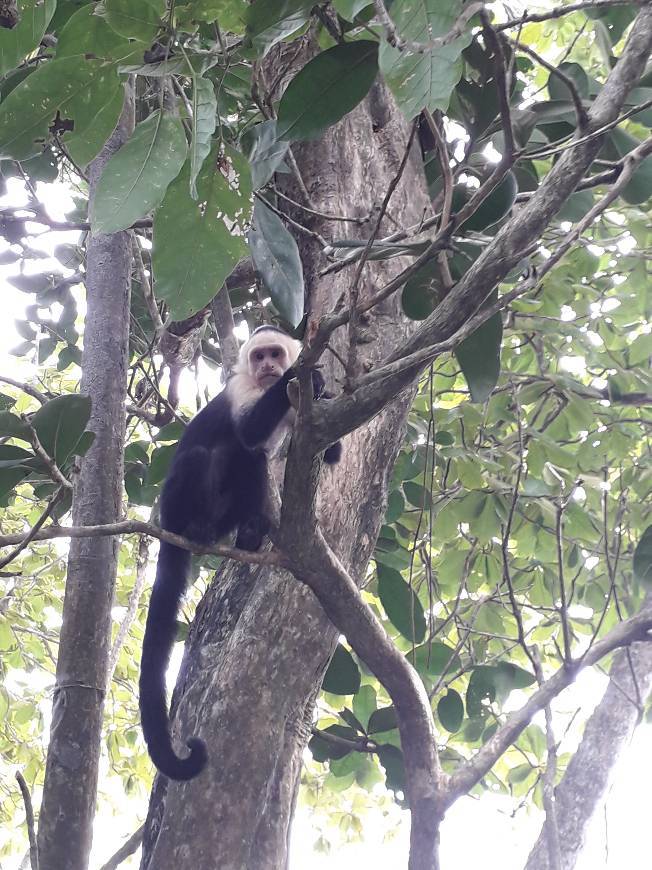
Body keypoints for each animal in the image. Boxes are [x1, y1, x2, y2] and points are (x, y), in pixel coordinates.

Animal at [140, 328, 344, 784]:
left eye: (273, 352)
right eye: (259, 356)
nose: (269, 365)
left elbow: (328, 451)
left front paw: (318, 385)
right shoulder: (240, 389)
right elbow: (249, 430)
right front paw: (297, 374)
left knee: (255, 461)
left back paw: (252, 533)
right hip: (176, 506)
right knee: (211, 454)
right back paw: (198, 529)